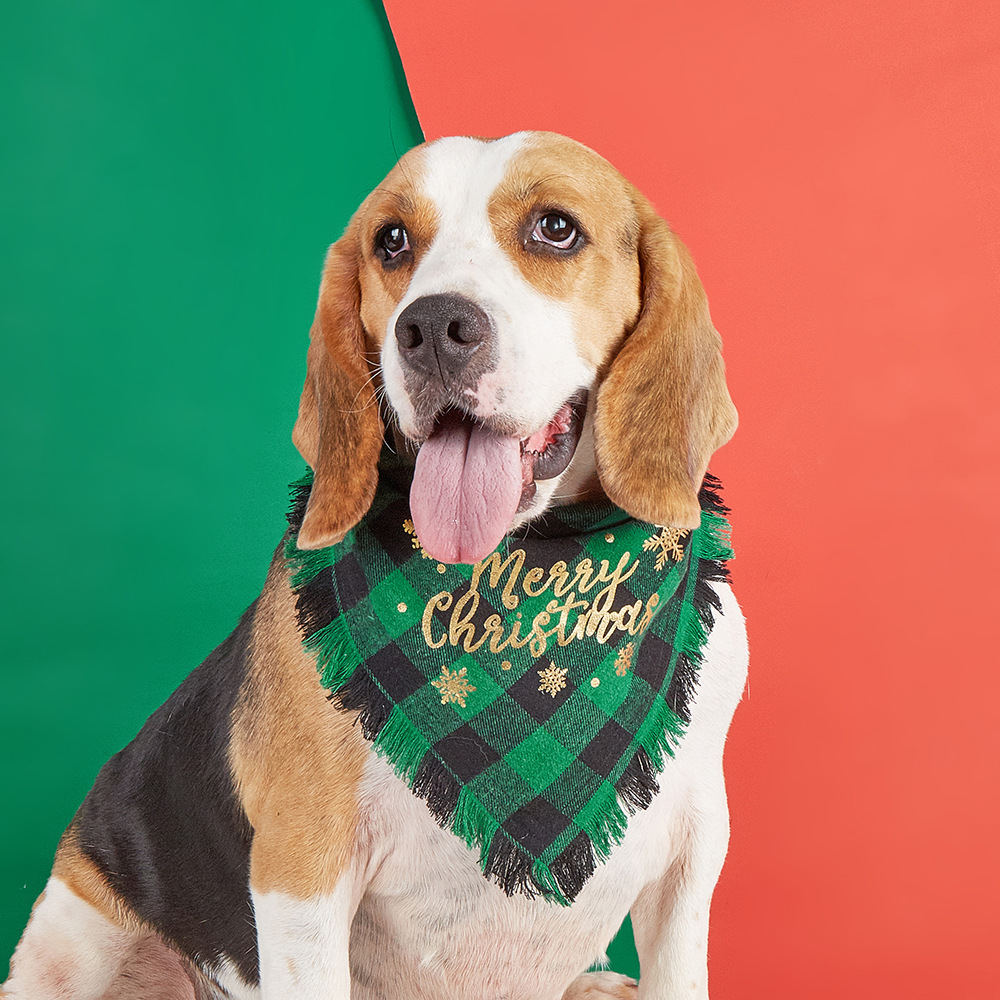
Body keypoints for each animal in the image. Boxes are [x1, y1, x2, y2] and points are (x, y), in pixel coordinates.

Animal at [3, 133, 748, 1000]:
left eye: (555, 229)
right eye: (391, 241)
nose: (434, 327)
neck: (521, 569)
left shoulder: (693, 849)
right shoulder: (302, 864)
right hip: (77, 940)